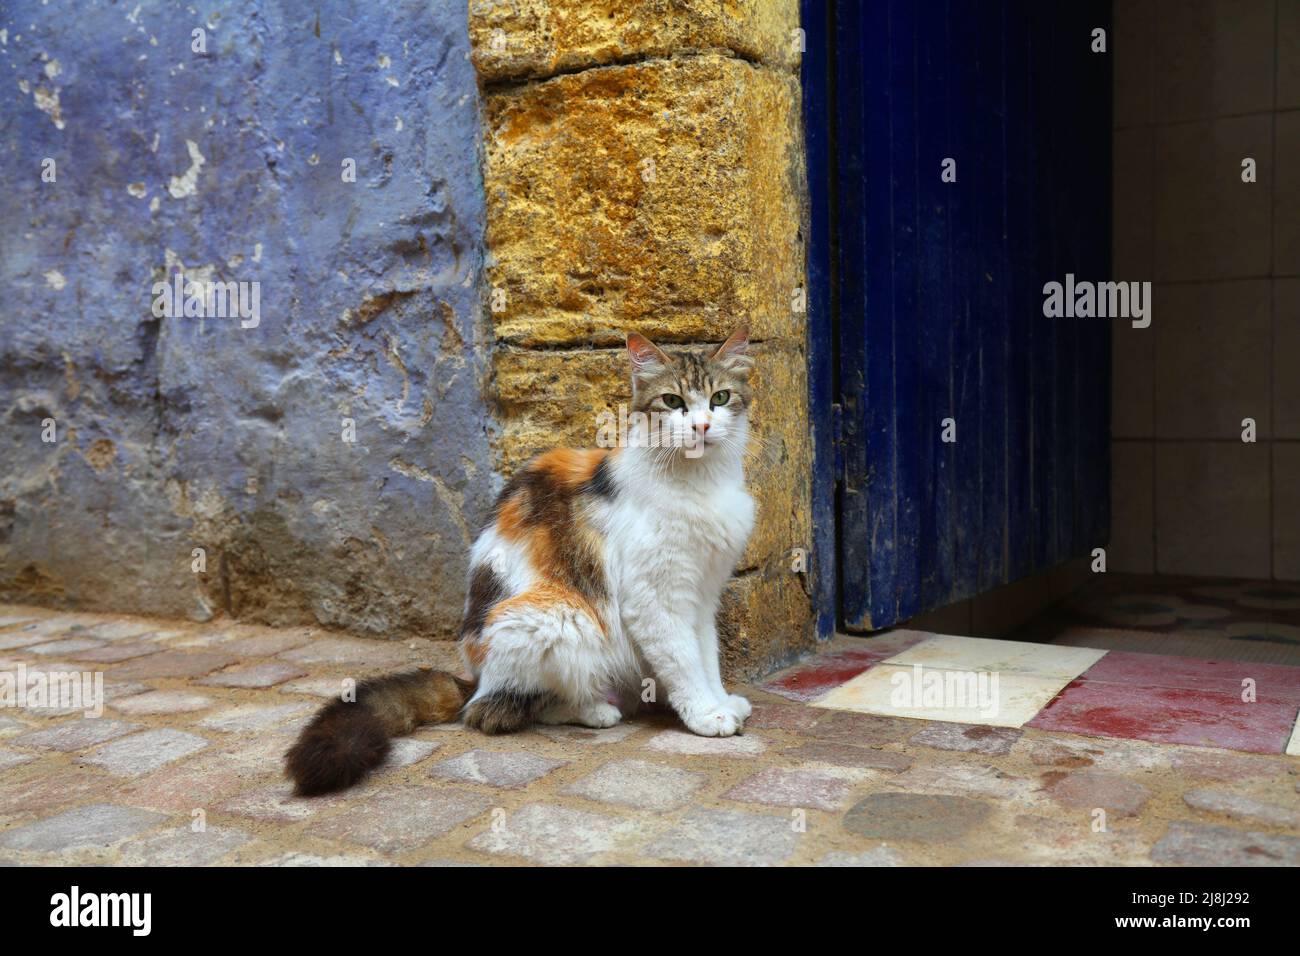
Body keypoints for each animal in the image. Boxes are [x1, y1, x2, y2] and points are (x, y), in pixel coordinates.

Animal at [283, 325, 754, 796]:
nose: (702, 425)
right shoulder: (654, 598)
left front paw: (721, 701)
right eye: (672, 401)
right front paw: (704, 715)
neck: (699, 482)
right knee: (495, 711)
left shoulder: (702, 594)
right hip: (557, 617)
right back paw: (593, 710)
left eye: (720, 398)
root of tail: (473, 677)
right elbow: (683, 661)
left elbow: (706, 655)